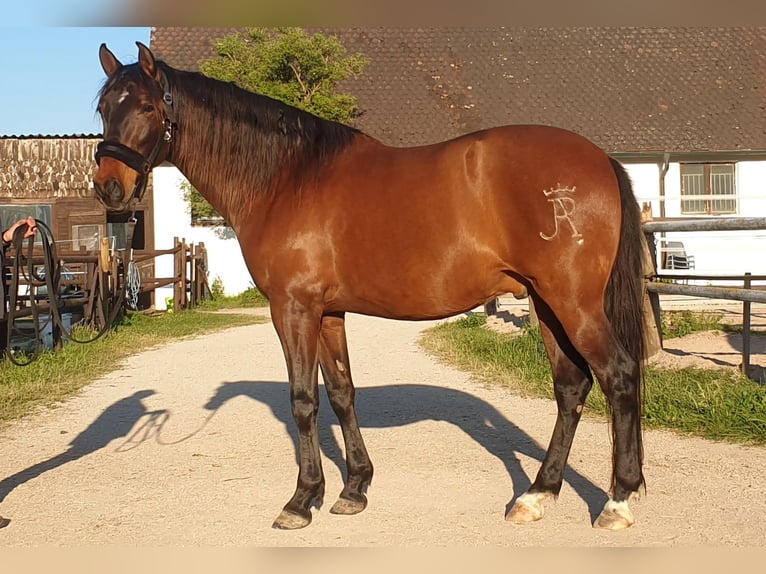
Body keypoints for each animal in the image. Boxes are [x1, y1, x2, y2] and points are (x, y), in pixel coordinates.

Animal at [93, 41, 647, 531]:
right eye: (102, 107)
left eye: (147, 106)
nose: (109, 188)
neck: (287, 178)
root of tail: (600, 159)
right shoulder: (328, 312)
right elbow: (341, 393)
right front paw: (353, 488)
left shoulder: (293, 308)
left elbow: (303, 400)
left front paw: (301, 500)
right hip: (545, 303)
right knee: (571, 386)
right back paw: (536, 495)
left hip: (572, 302)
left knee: (618, 376)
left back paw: (617, 502)